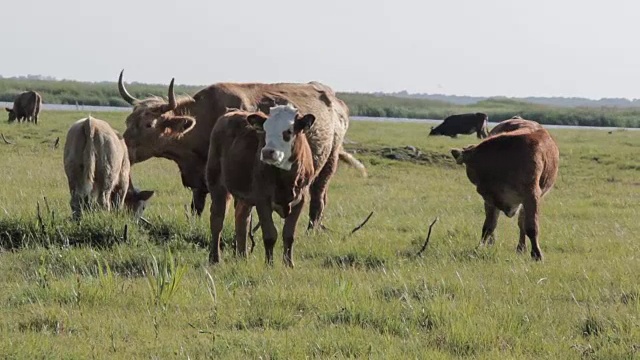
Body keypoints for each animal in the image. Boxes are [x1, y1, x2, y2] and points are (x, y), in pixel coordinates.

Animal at [205, 104, 316, 268]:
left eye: (288, 131)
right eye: (265, 130)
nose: (268, 152)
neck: (285, 181)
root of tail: (230, 112)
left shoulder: (301, 199)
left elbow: (289, 235)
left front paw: (289, 264)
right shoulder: (262, 200)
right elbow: (270, 234)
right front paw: (269, 265)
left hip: (244, 198)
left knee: (242, 220)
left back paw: (242, 257)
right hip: (217, 184)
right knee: (217, 221)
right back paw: (215, 258)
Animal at [450, 125, 560, 260]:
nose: (480, 189)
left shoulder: (531, 195)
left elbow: (531, 227)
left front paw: (537, 254)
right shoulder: (490, 200)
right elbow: (488, 226)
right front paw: (478, 249)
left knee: (522, 223)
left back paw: (521, 248)